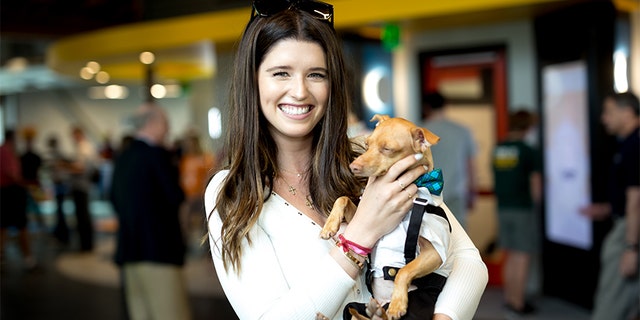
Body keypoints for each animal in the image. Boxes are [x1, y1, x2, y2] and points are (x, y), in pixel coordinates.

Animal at [320, 114, 450, 318]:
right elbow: (342, 199)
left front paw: (398, 303)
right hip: (353, 308)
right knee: (355, 312)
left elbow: (404, 271)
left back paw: (386, 310)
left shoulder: (435, 253)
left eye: (387, 149)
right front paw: (330, 226)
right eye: (367, 144)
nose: (353, 166)